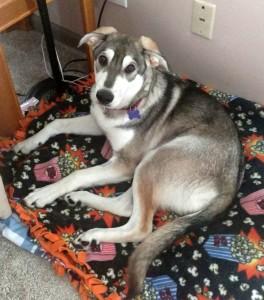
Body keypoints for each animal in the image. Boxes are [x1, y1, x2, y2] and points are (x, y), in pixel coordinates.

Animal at [13, 26, 243, 298]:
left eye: (131, 68)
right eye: (102, 59)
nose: (103, 96)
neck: (129, 104)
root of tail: (229, 186)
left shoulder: (125, 164)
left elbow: (78, 174)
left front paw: (45, 192)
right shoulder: (97, 123)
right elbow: (56, 123)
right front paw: (28, 142)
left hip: (153, 161)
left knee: (141, 227)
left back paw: (96, 232)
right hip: (147, 169)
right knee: (126, 207)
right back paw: (81, 200)